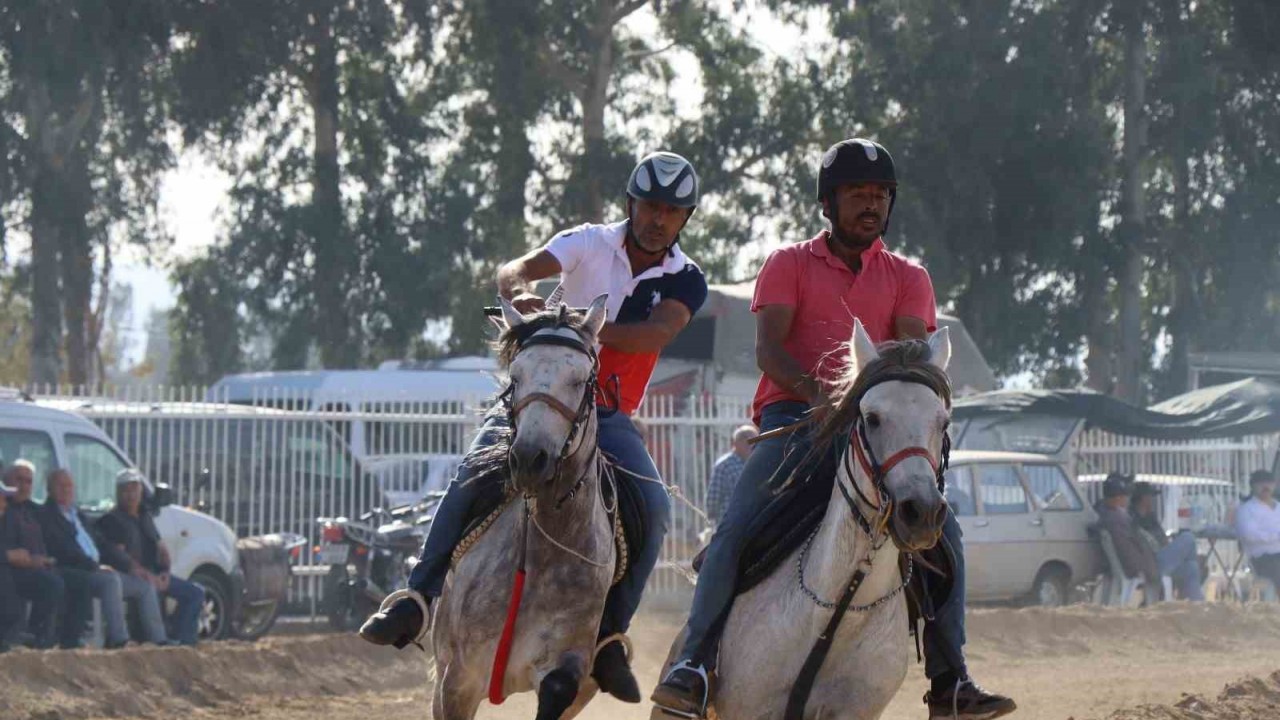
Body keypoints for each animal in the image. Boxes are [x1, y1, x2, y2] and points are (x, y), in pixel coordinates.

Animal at [432, 293, 616, 717]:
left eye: (580, 381)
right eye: (515, 378)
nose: (530, 459)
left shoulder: (567, 672)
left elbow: (558, 686)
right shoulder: (458, 679)